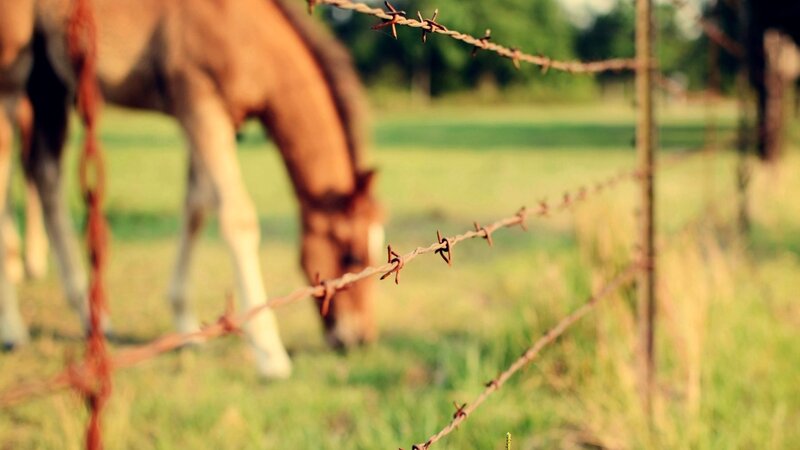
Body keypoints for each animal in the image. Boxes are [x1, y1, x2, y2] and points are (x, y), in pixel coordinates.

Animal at [0, 0, 383, 378]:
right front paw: (269, 352)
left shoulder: (216, 121)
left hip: (51, 81)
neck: (243, 30)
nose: (360, 338)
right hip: (14, 70)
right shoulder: (200, 105)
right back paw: (13, 328)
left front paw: (187, 329)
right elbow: (236, 217)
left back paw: (92, 318)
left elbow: (197, 207)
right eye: (352, 256)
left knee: (45, 174)